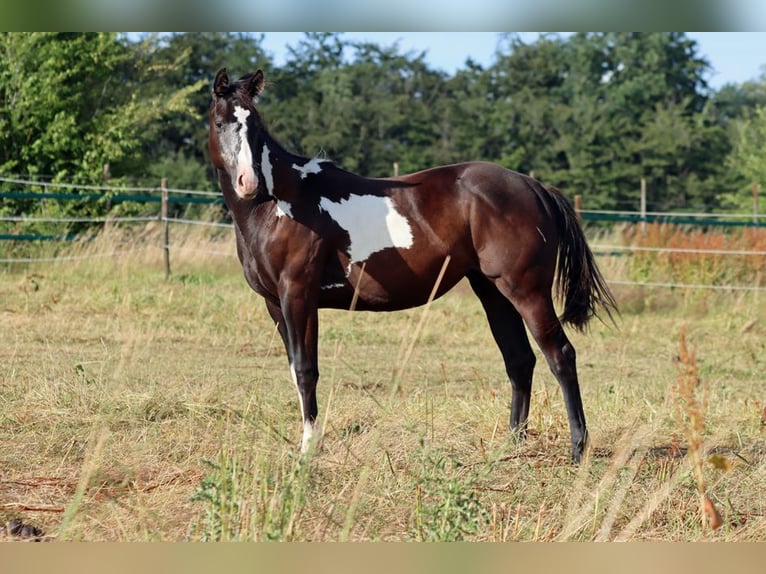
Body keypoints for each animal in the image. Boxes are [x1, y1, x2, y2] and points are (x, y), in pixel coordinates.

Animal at [208, 68, 617, 463]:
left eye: (256, 125)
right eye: (220, 122)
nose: (248, 182)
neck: (279, 203)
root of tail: (534, 188)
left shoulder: (298, 296)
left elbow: (307, 370)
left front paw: (309, 450)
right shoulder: (275, 303)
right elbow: (295, 369)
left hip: (526, 291)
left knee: (560, 355)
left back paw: (578, 449)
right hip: (493, 292)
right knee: (519, 359)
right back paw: (510, 447)